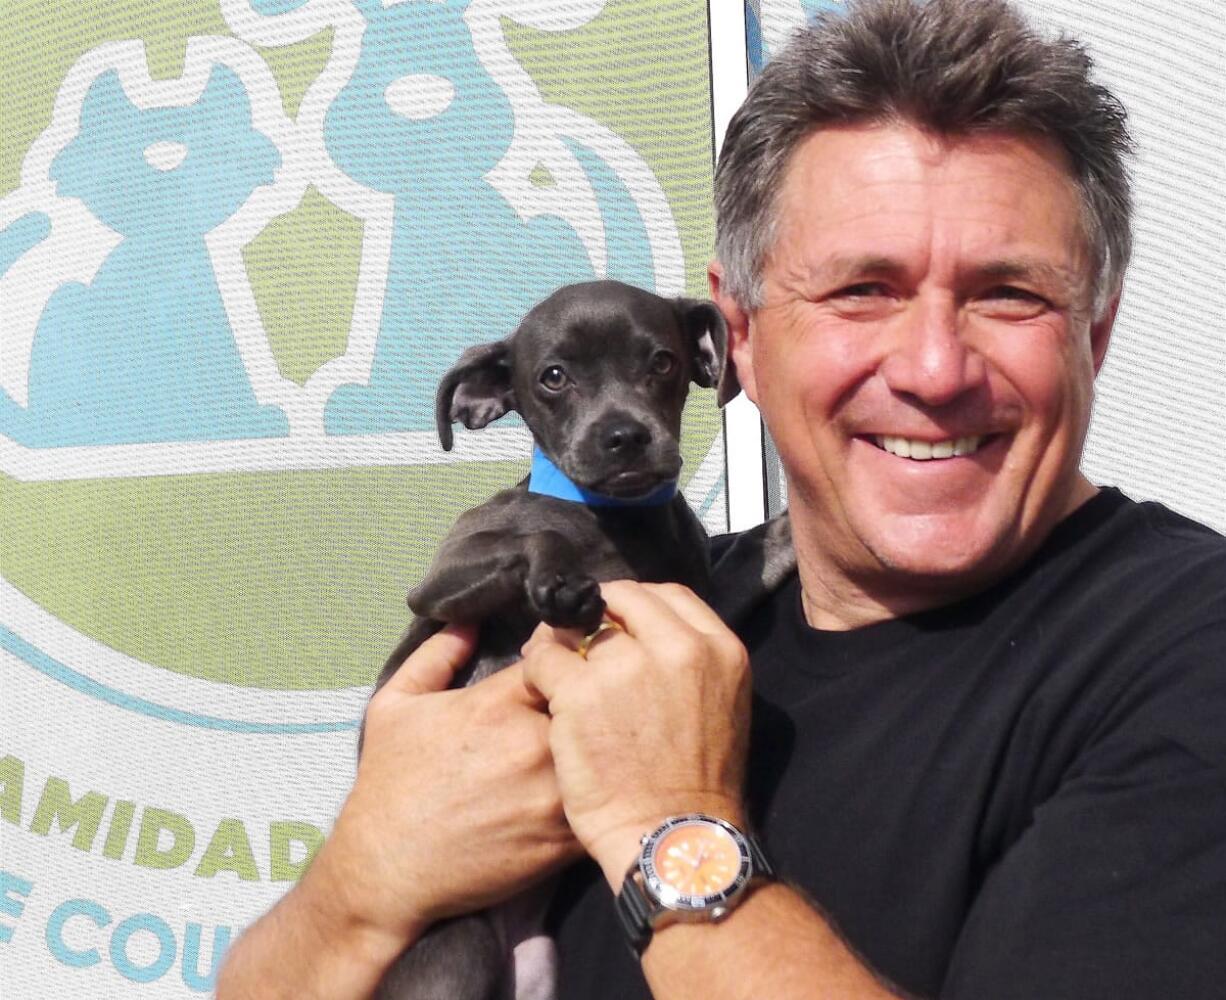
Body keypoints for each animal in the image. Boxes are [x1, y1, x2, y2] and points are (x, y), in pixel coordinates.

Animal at [365, 279, 735, 1000]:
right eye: (554, 377)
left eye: (663, 361)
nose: (624, 436)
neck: (615, 520)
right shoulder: (441, 578)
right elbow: (536, 535)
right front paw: (562, 582)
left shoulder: (708, 599)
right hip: (462, 946)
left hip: (537, 971)